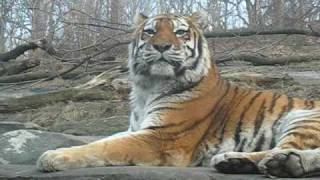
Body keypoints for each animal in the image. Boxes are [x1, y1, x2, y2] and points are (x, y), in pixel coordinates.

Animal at [36, 12, 320, 177]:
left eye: (180, 32)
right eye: (150, 31)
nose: (162, 46)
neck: (148, 87)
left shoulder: (162, 136)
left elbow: (106, 146)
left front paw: (54, 156)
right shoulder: (136, 128)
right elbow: (102, 141)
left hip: (303, 118)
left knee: (285, 149)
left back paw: (256, 161)